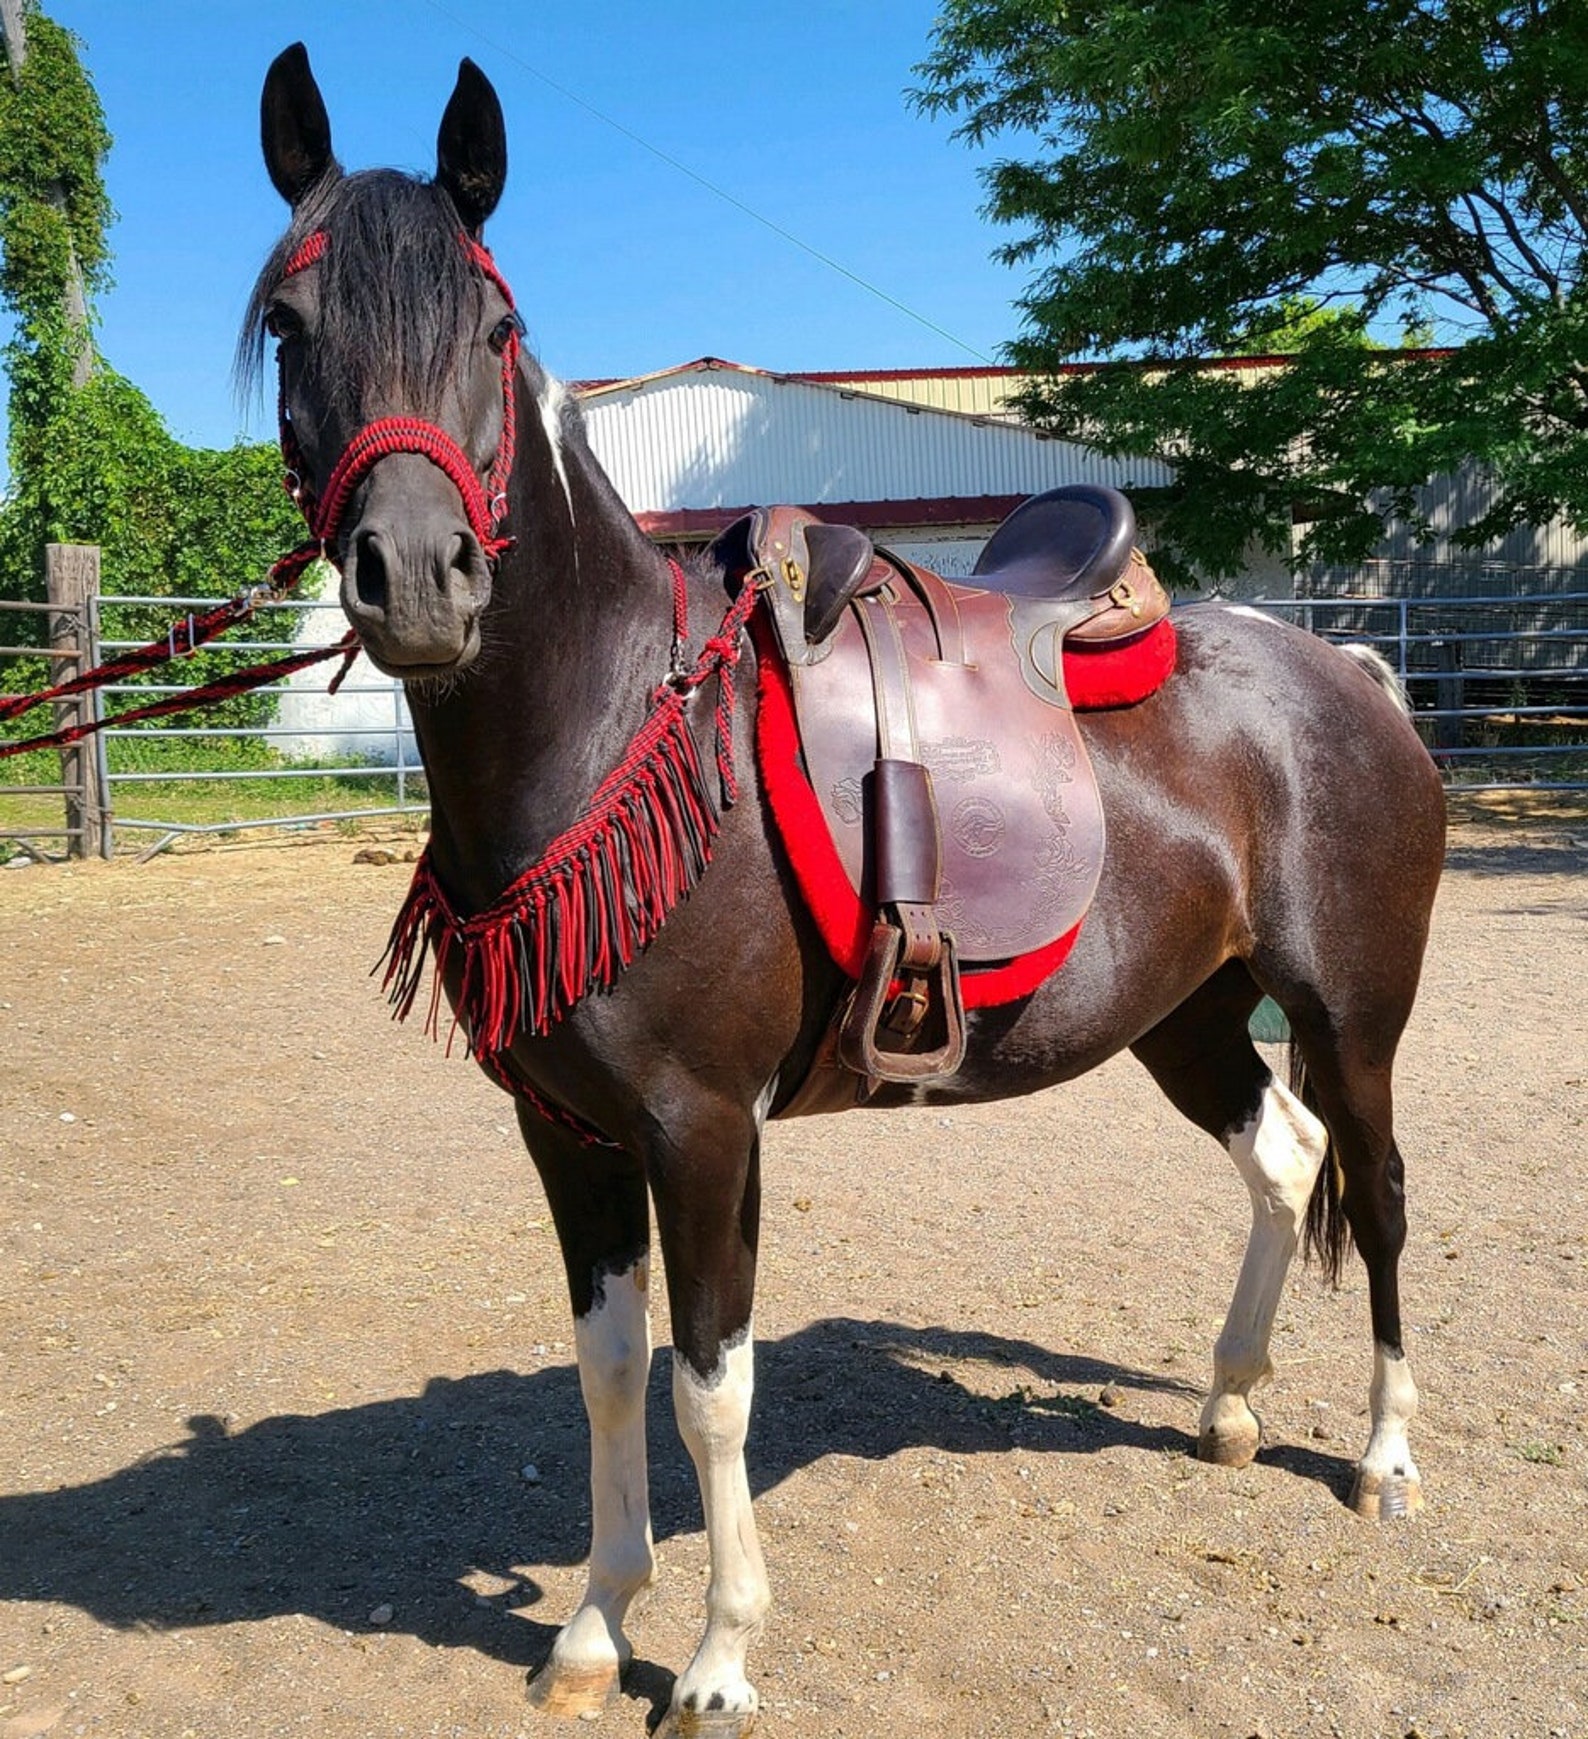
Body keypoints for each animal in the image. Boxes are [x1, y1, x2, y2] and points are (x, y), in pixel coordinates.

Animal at [247, 45, 1446, 1737]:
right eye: (292, 322)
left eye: (492, 326)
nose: (415, 575)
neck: (619, 728)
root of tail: (1345, 669)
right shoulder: (568, 1135)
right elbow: (609, 1365)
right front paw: (593, 1625)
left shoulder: (700, 1127)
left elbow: (710, 1382)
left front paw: (717, 1654)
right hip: (1186, 1016)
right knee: (1282, 1158)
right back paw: (1224, 1405)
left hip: (1351, 1013)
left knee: (1382, 1193)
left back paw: (1386, 1455)